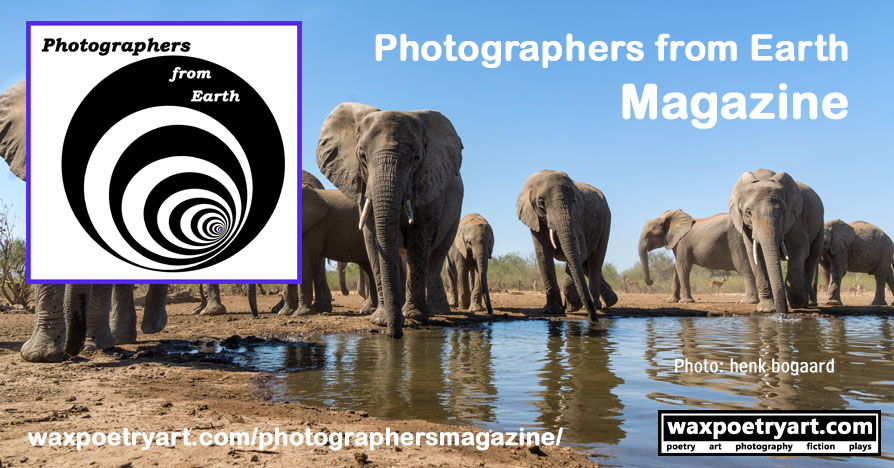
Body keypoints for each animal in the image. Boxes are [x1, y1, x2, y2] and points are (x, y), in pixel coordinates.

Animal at [317, 103, 464, 338]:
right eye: (362, 156)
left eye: (416, 158)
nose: (394, 335)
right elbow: (373, 238)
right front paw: (381, 320)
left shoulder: (429, 183)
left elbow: (419, 240)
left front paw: (414, 317)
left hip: (454, 215)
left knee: (435, 258)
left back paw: (435, 311)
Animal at [516, 170, 617, 320]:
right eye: (541, 202)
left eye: (574, 201)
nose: (593, 319)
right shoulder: (534, 219)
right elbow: (543, 255)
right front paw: (552, 311)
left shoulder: (576, 219)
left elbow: (579, 252)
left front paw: (572, 308)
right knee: (586, 267)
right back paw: (610, 302)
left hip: (606, 222)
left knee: (594, 263)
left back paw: (596, 305)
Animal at [729, 169, 824, 314]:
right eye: (748, 212)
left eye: (784, 211)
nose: (782, 313)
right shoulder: (744, 225)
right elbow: (755, 255)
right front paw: (766, 309)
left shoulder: (797, 217)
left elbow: (799, 249)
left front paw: (797, 304)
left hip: (820, 224)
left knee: (812, 257)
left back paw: (805, 303)